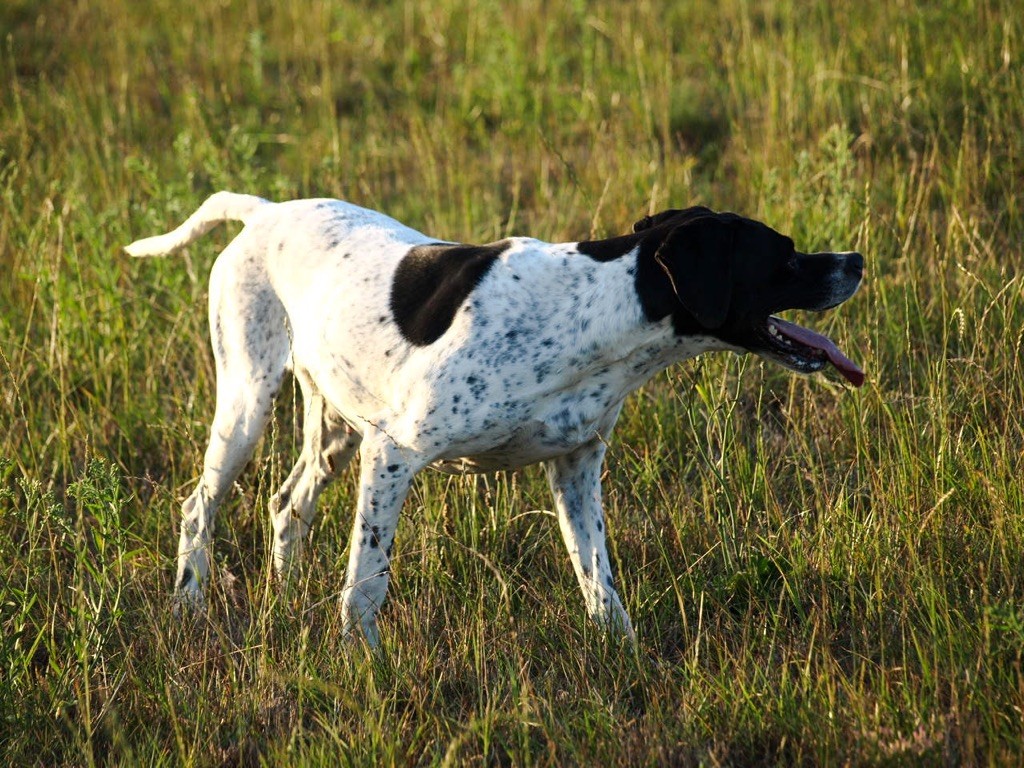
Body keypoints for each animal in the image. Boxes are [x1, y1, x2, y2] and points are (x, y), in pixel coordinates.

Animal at [128, 192, 864, 643]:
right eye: (784, 254)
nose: (856, 260)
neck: (597, 311)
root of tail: (265, 211)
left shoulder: (576, 468)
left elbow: (600, 584)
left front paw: (624, 658)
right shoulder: (394, 453)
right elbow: (367, 581)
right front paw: (362, 660)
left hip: (334, 428)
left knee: (287, 505)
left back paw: (284, 598)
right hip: (248, 400)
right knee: (199, 508)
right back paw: (189, 603)